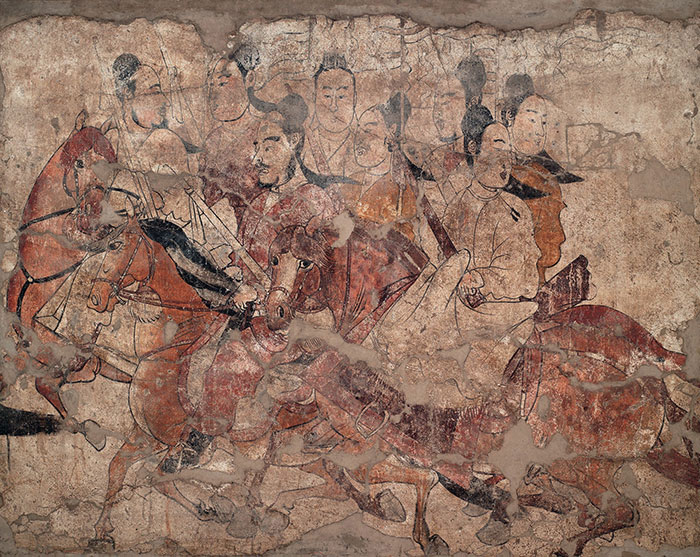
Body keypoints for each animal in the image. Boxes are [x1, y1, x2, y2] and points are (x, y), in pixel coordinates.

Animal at [262, 223, 697, 556]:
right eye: (274, 259)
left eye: (304, 262)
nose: (274, 313)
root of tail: (647, 381)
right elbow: (332, 466)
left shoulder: (372, 439)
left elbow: (356, 470)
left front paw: (399, 517)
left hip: (575, 465)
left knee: (620, 512)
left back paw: (554, 535)